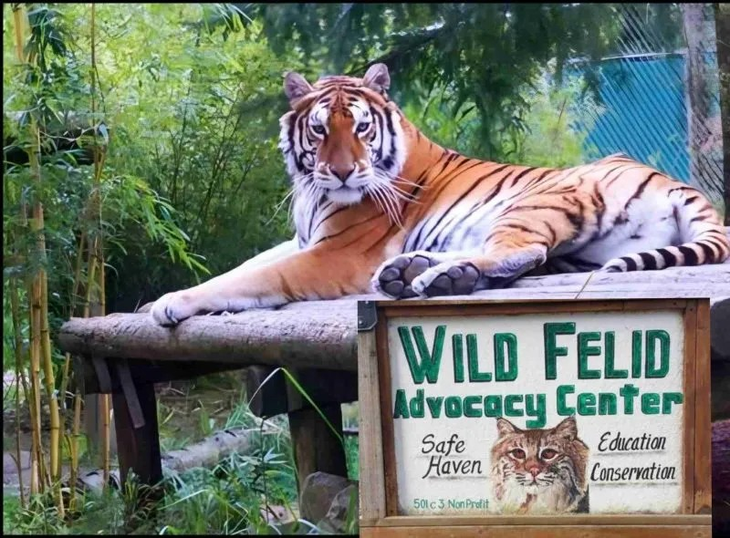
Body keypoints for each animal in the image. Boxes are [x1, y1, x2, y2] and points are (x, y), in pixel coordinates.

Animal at [150, 63, 729, 326]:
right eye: (319, 130)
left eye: (361, 128)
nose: (342, 173)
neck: (313, 193)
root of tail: (675, 182)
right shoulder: (301, 240)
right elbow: (242, 266)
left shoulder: (332, 255)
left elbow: (252, 278)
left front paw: (170, 304)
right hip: (577, 247)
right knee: (525, 261)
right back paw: (418, 271)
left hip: (535, 201)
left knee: (521, 250)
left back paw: (430, 276)